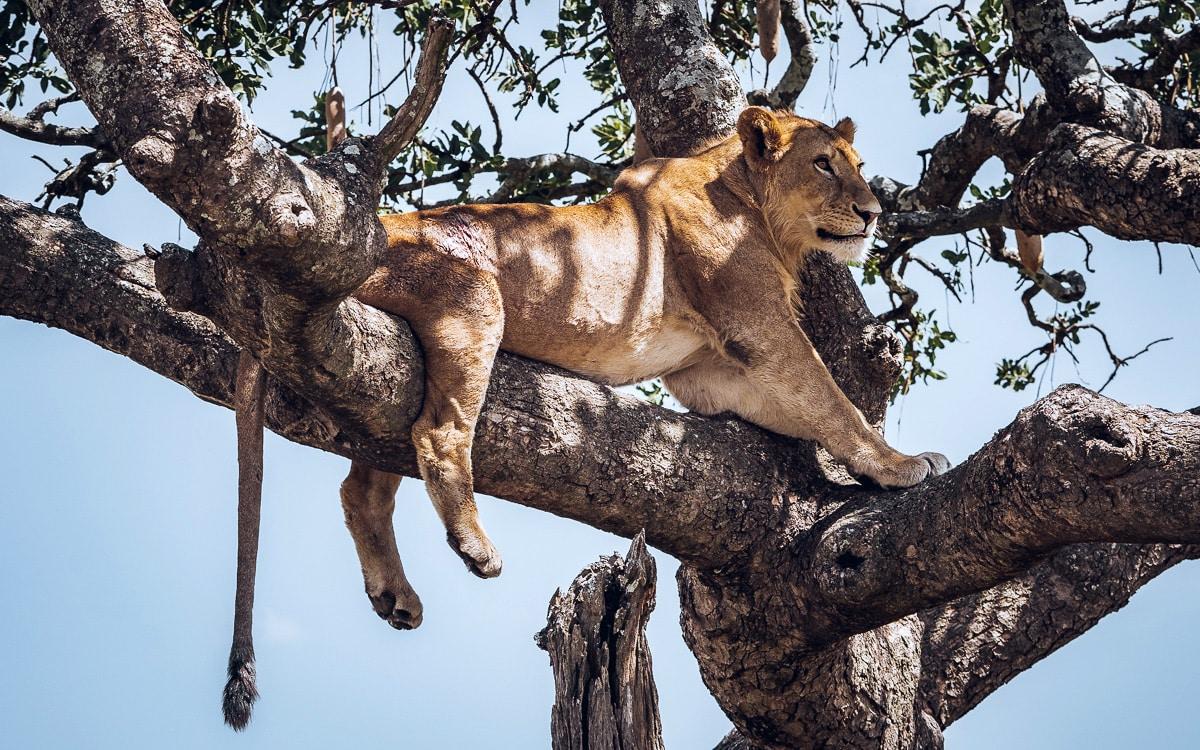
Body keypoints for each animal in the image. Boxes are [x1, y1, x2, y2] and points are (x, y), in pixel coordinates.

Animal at [222, 106, 949, 726]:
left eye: (857, 164)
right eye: (824, 164)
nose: (873, 212)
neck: (754, 205)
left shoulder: (708, 375)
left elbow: (808, 409)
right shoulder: (762, 328)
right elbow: (833, 401)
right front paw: (899, 465)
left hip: (380, 378)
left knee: (363, 485)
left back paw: (394, 595)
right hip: (469, 294)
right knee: (437, 434)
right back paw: (475, 546)